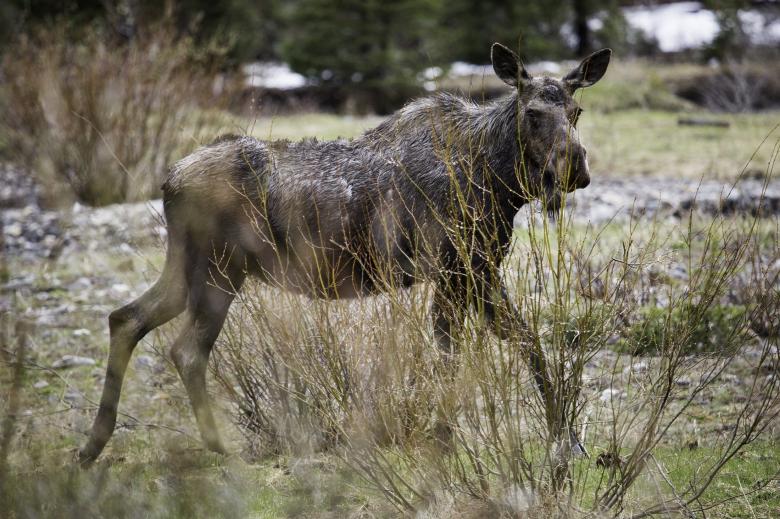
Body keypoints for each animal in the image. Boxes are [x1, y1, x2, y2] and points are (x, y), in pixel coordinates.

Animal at [79, 43, 611, 464]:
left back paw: (93, 445)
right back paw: (217, 446)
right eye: (533, 114)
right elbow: (450, 357)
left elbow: (528, 343)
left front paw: (567, 441)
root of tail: (168, 181)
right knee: (185, 349)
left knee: (125, 318)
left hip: (187, 268)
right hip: (220, 271)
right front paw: (443, 441)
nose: (575, 169)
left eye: (577, 113)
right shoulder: (452, 269)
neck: (498, 181)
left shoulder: (477, 270)